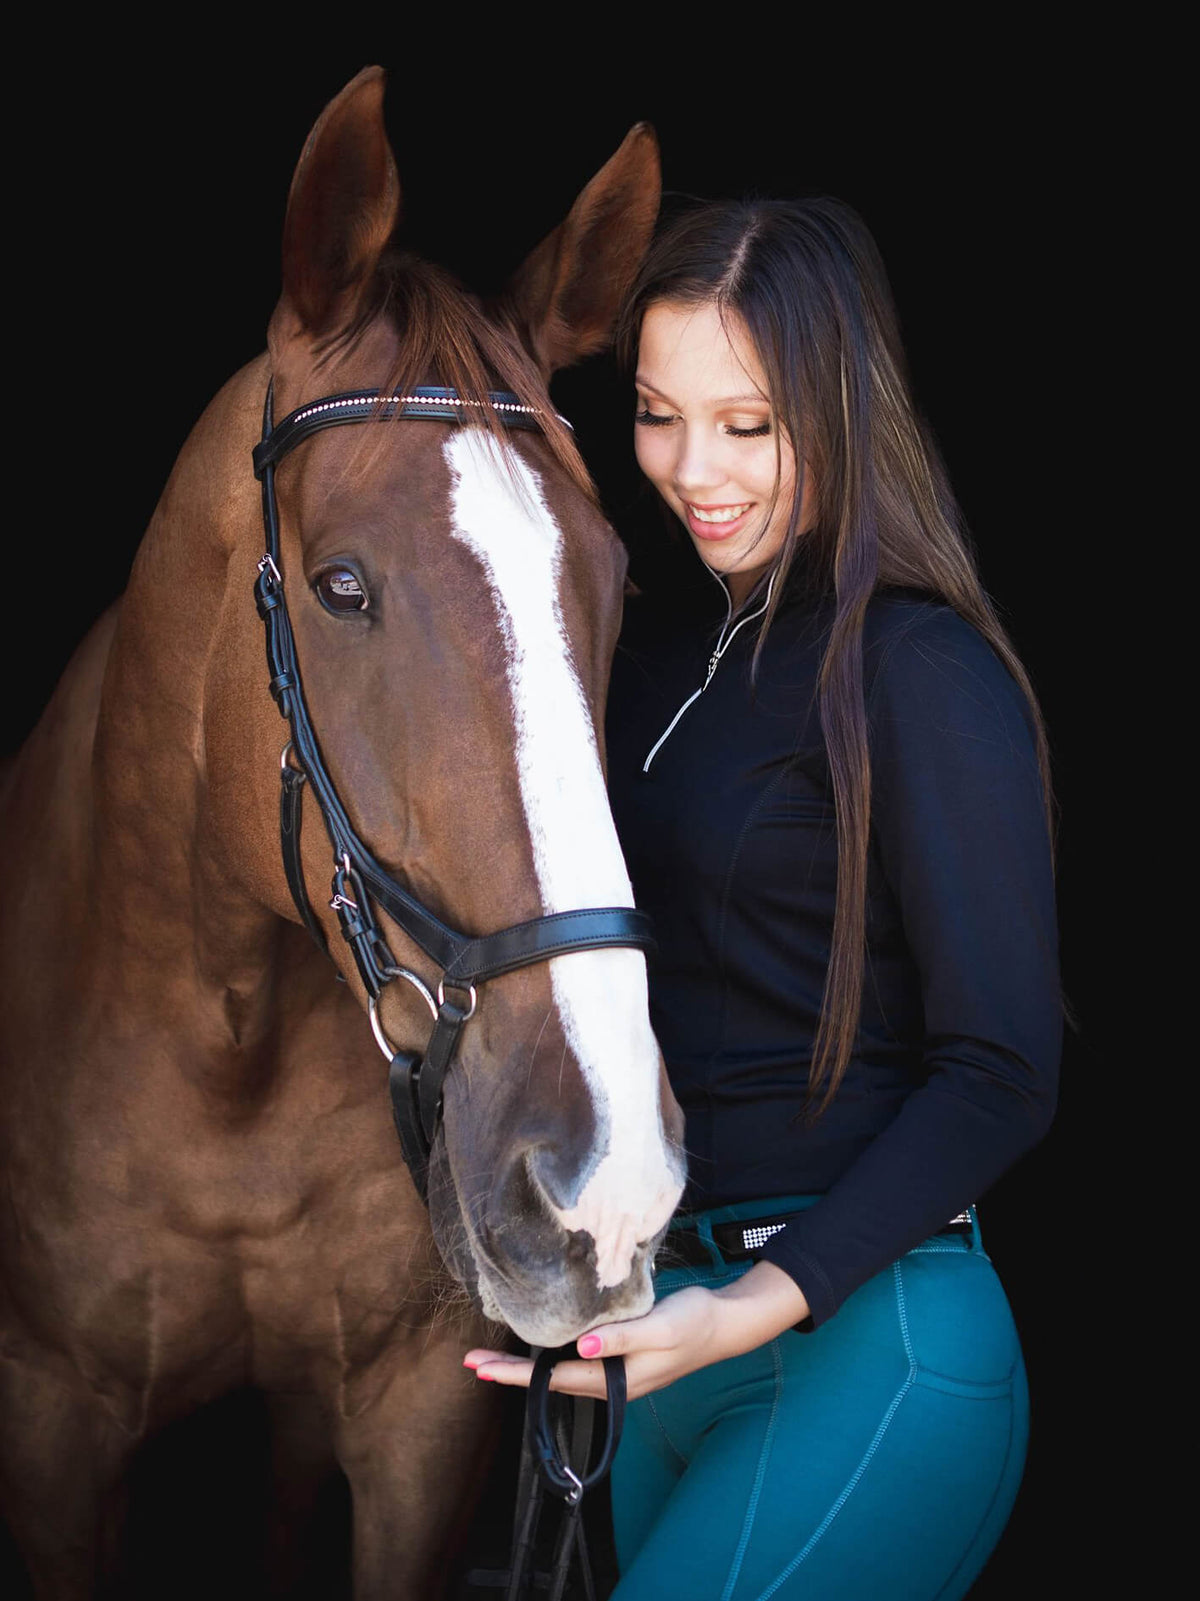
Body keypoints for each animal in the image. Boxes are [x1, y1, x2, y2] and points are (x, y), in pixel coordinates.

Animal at [0, 66, 684, 1599]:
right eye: (343, 585)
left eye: (618, 579)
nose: (605, 1177)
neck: (226, 1051)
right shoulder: (54, 1421)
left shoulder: (419, 1423)